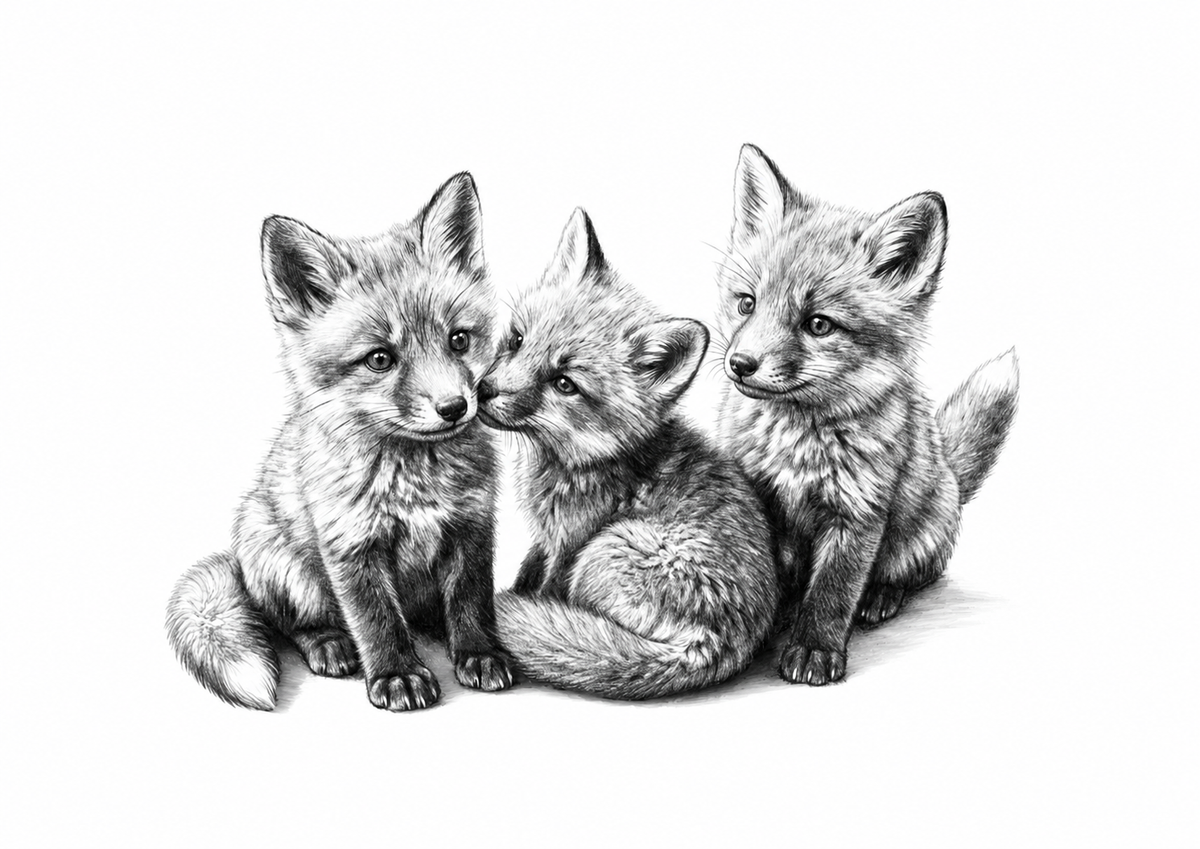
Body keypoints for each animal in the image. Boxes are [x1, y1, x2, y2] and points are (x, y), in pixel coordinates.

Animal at [165, 173, 514, 711]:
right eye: (379, 359)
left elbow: (470, 603)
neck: (415, 479)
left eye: (458, 340)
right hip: (286, 567)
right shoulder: (351, 545)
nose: (454, 407)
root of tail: (238, 563)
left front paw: (479, 653)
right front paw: (397, 674)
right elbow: (377, 619)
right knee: (296, 625)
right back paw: (329, 644)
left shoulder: (471, 527)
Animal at [476, 208, 779, 700]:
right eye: (517, 340)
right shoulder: (545, 538)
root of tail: (716, 642)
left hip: (604, 551)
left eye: (564, 383)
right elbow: (527, 573)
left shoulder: (571, 543)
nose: (483, 392)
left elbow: (545, 589)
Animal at [714, 144, 1019, 686]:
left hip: (922, 529)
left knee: (913, 573)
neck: (797, 444)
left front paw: (815, 649)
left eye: (818, 324)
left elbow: (833, 591)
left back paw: (880, 597)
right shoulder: (759, 498)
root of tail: (952, 475)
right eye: (746, 304)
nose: (741, 364)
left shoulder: (858, 513)